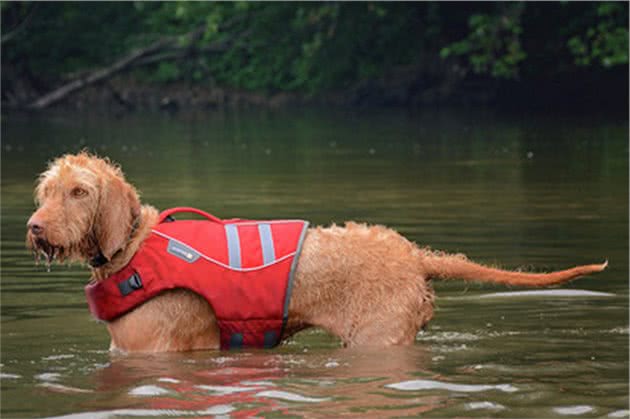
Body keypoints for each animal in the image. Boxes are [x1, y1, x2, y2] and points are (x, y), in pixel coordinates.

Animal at [27, 153, 608, 352]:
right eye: (46, 190)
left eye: (79, 191)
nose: (34, 228)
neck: (132, 245)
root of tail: (415, 254)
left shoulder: (153, 351)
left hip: (378, 338)